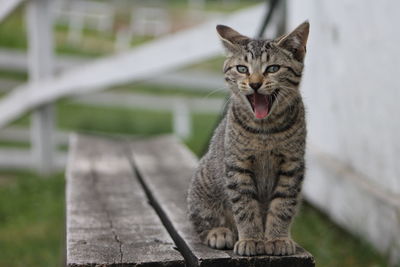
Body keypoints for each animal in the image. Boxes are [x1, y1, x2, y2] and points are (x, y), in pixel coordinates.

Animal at [188, 21, 310, 258]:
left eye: (272, 68)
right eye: (242, 69)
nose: (254, 84)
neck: (266, 131)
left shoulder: (291, 165)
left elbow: (283, 206)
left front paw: (277, 238)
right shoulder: (237, 166)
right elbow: (245, 206)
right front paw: (252, 239)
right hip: (202, 185)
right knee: (200, 220)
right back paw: (219, 232)